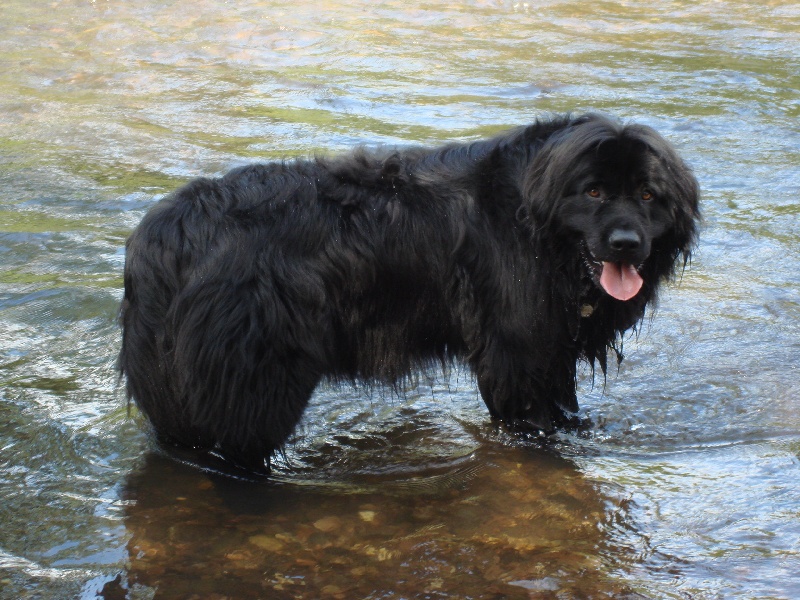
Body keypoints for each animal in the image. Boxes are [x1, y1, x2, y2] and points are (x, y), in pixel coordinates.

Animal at [119, 111, 700, 468]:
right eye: (593, 191)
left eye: (649, 195)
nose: (626, 243)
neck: (534, 222)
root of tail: (165, 232)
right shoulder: (517, 354)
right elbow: (532, 421)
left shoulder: (552, 350)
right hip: (256, 384)